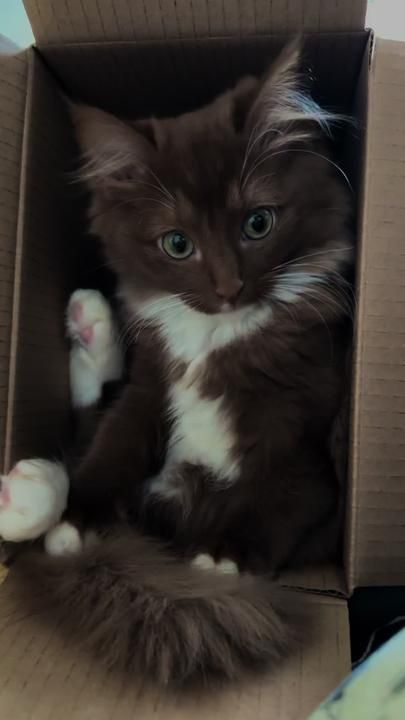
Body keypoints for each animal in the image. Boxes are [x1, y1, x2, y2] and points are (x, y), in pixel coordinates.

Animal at [0, 42, 354, 688]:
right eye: (177, 244)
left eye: (258, 223)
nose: (229, 287)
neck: (216, 338)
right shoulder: (150, 387)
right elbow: (111, 445)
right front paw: (75, 519)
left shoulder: (309, 438)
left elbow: (281, 493)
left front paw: (219, 559)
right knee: (89, 419)